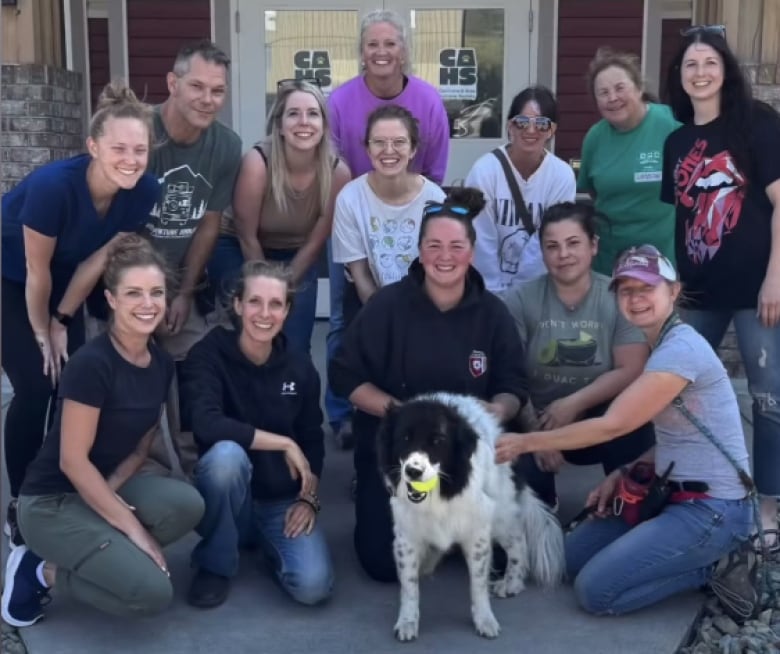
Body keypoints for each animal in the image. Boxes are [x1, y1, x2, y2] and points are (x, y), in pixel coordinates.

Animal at [376, 394, 564, 640]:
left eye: (438, 440)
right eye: (405, 438)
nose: (413, 471)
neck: (438, 495)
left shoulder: (478, 533)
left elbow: (478, 585)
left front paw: (485, 619)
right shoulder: (407, 536)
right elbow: (409, 586)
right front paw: (407, 621)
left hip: (500, 516)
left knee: (518, 542)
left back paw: (512, 582)